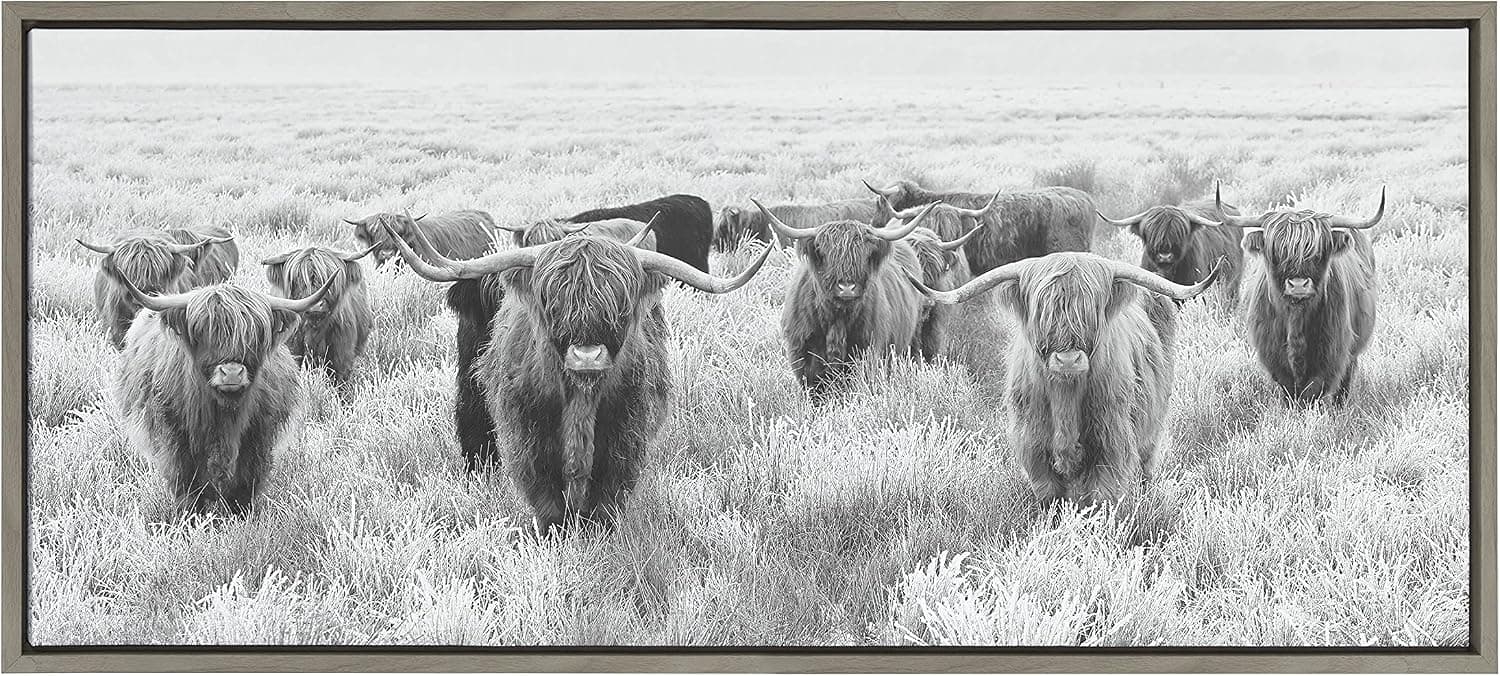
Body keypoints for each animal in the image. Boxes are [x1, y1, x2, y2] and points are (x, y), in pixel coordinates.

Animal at [115, 277, 334, 515]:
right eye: (202, 332)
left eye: (255, 334)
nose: (231, 372)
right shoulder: (175, 438)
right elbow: (187, 485)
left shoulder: (258, 437)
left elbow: (245, 484)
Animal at [755, 198, 941, 400]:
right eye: (825, 253)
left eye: (864, 254)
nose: (846, 288)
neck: (837, 320)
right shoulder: (805, 357)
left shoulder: (867, 353)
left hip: (912, 339)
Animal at [907, 252, 1222, 504]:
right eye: (1042, 311)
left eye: (1091, 310)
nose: (1068, 359)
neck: (1065, 399)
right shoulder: (1034, 450)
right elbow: (1051, 499)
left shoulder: (1112, 446)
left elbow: (1100, 500)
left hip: (1151, 429)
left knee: (1146, 464)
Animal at [1214, 183, 1382, 405]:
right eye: (1275, 251)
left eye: (1319, 252)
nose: (1298, 285)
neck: (1296, 317)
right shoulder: (1273, 357)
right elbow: (1290, 392)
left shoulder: (1332, 354)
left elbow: (1313, 391)